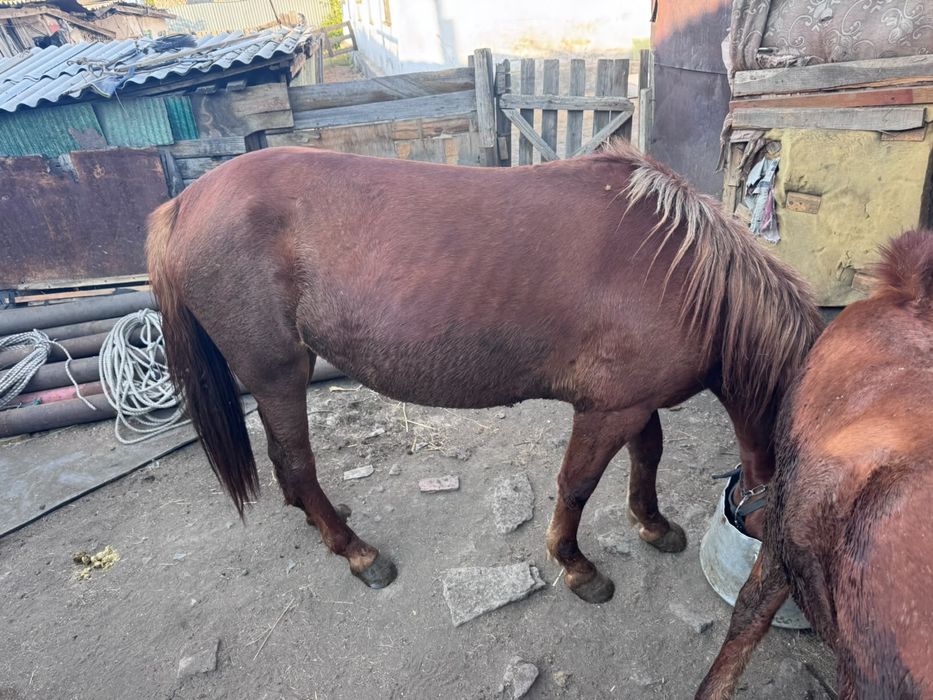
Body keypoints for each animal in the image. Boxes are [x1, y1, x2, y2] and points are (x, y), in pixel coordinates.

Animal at [146, 140, 821, 602]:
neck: (684, 273)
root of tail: (182, 204)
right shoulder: (607, 411)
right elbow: (577, 485)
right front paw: (576, 566)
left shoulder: (631, 402)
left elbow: (647, 457)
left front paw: (653, 526)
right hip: (278, 373)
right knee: (295, 467)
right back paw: (358, 554)